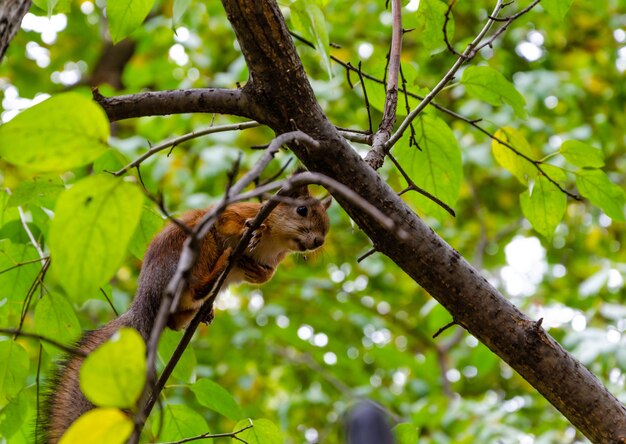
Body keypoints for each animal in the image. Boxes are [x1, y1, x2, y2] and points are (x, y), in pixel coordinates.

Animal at [40, 182, 330, 442]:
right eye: (302, 210)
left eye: (326, 223)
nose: (318, 241)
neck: (277, 241)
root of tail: (147, 298)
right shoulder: (236, 211)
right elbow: (227, 219)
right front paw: (252, 228)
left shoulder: (275, 261)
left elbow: (266, 276)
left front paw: (257, 271)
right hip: (193, 247)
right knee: (195, 283)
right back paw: (219, 267)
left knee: (175, 321)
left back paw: (204, 310)